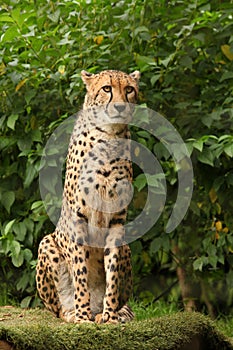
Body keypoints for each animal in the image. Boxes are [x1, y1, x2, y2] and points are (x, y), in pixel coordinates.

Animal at [36, 69, 140, 324]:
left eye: (129, 89)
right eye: (106, 88)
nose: (120, 106)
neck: (110, 137)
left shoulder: (117, 220)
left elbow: (112, 272)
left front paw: (110, 316)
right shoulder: (78, 216)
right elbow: (80, 270)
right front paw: (83, 316)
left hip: (127, 247)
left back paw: (112, 312)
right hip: (46, 242)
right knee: (57, 309)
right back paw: (76, 312)